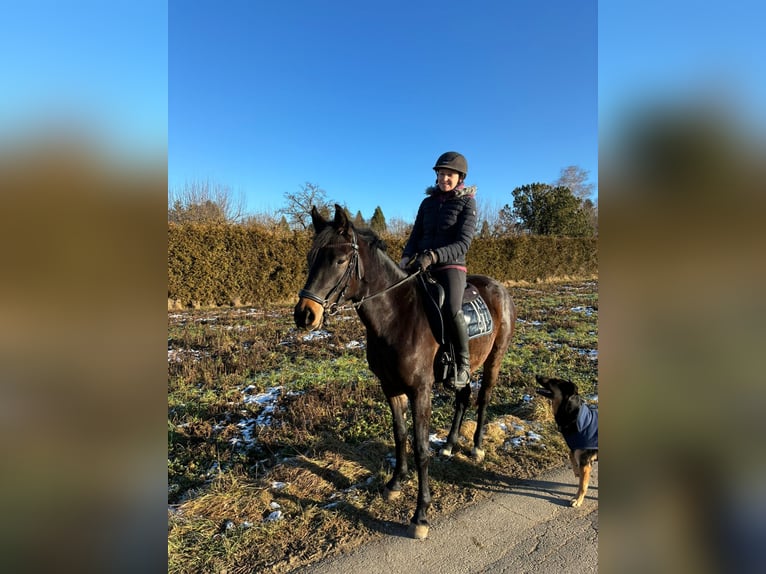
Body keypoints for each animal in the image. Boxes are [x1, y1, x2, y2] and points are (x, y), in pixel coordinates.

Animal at [293, 204, 516, 539]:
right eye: (310, 257)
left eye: (340, 260)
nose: (305, 314)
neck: (396, 316)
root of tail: (499, 288)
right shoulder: (390, 386)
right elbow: (400, 436)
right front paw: (395, 484)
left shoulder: (420, 391)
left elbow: (421, 446)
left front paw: (420, 515)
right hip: (465, 369)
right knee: (463, 397)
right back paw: (449, 445)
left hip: (494, 359)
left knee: (483, 398)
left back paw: (476, 447)